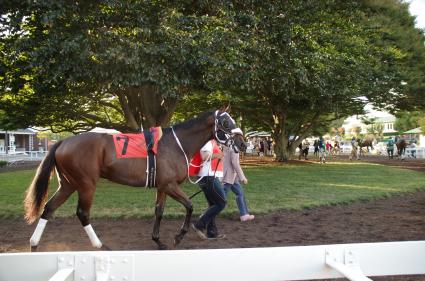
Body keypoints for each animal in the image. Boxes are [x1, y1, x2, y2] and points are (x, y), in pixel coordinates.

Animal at [24, 109, 247, 249]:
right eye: (226, 122)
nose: (243, 144)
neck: (176, 144)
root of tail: (63, 142)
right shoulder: (170, 185)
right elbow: (190, 206)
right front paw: (178, 237)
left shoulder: (162, 187)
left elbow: (159, 211)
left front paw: (158, 241)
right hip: (86, 184)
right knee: (82, 213)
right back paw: (98, 244)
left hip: (69, 184)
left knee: (49, 208)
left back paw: (34, 243)